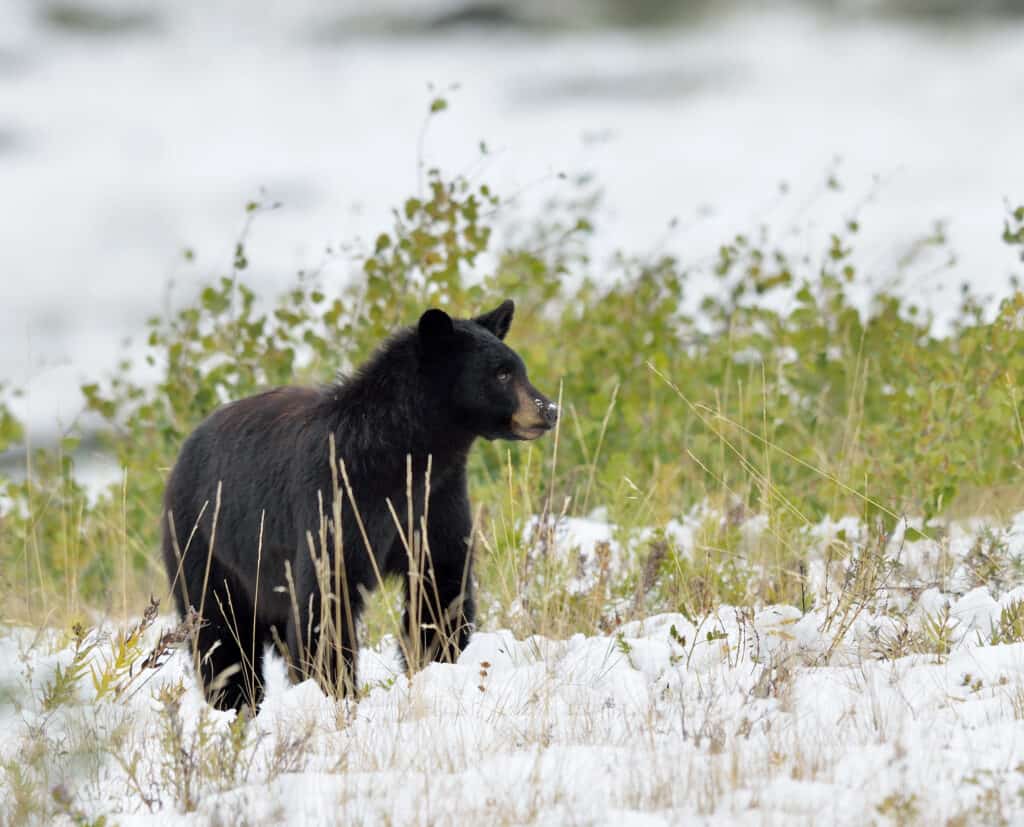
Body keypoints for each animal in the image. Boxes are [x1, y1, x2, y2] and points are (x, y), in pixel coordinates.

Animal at [160, 300, 561, 712]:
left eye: (518, 368)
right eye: (501, 374)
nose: (549, 409)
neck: (403, 454)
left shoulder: (436, 500)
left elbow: (440, 581)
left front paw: (438, 659)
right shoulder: (337, 497)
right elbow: (327, 597)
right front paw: (337, 693)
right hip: (206, 543)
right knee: (221, 632)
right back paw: (235, 704)